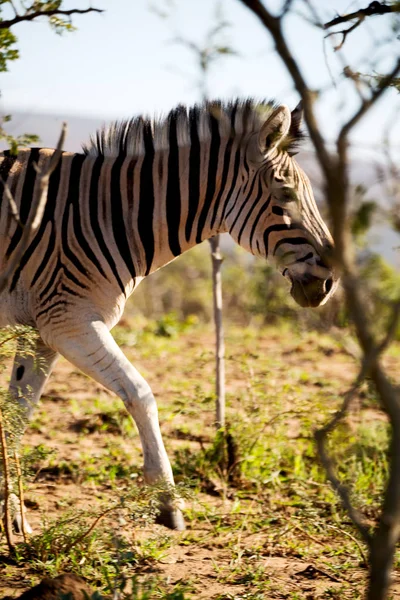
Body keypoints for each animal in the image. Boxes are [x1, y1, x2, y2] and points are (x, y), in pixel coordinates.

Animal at [0, 101, 338, 532]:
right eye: (285, 195)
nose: (330, 283)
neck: (108, 215)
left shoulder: (42, 332)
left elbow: (16, 415)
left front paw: (12, 517)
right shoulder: (69, 320)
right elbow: (140, 393)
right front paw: (167, 502)